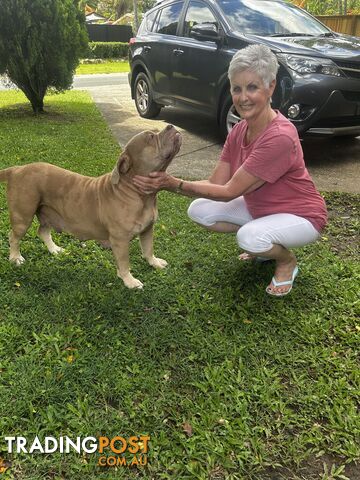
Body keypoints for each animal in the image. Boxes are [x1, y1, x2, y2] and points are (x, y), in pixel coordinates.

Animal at [0, 124, 180, 288]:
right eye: (151, 137)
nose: (170, 126)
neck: (138, 193)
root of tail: (17, 169)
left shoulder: (148, 229)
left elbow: (148, 249)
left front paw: (154, 262)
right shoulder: (120, 240)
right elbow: (124, 263)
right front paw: (129, 280)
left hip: (48, 213)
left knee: (42, 231)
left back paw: (55, 250)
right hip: (23, 216)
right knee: (14, 236)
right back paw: (15, 258)